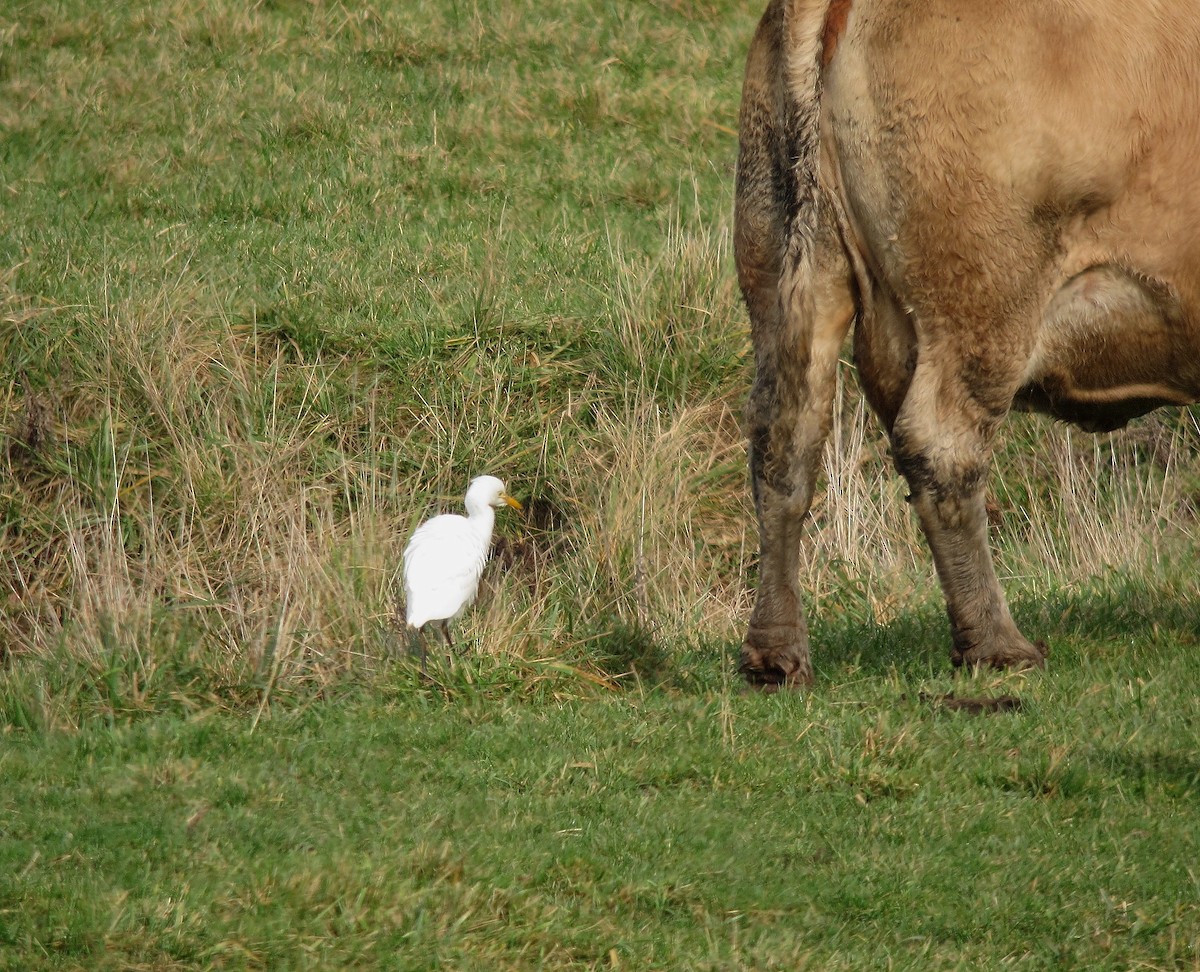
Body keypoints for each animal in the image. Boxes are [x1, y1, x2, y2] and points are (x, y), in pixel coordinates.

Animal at [735, 0, 1200, 689]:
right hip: (983, 298)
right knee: (941, 447)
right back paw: (997, 644)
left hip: (785, 266)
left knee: (783, 442)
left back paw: (775, 654)